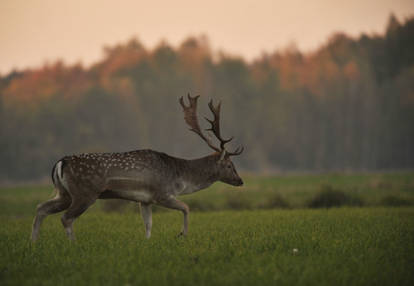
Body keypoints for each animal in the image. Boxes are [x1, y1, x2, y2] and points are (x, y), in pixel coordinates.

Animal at [32, 94, 244, 241]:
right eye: (230, 165)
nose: (240, 181)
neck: (180, 178)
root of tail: (61, 162)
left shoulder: (145, 200)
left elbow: (148, 224)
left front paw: (147, 243)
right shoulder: (162, 193)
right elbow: (186, 207)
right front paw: (182, 234)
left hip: (64, 193)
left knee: (41, 208)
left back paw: (34, 244)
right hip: (85, 193)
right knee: (66, 218)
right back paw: (73, 244)